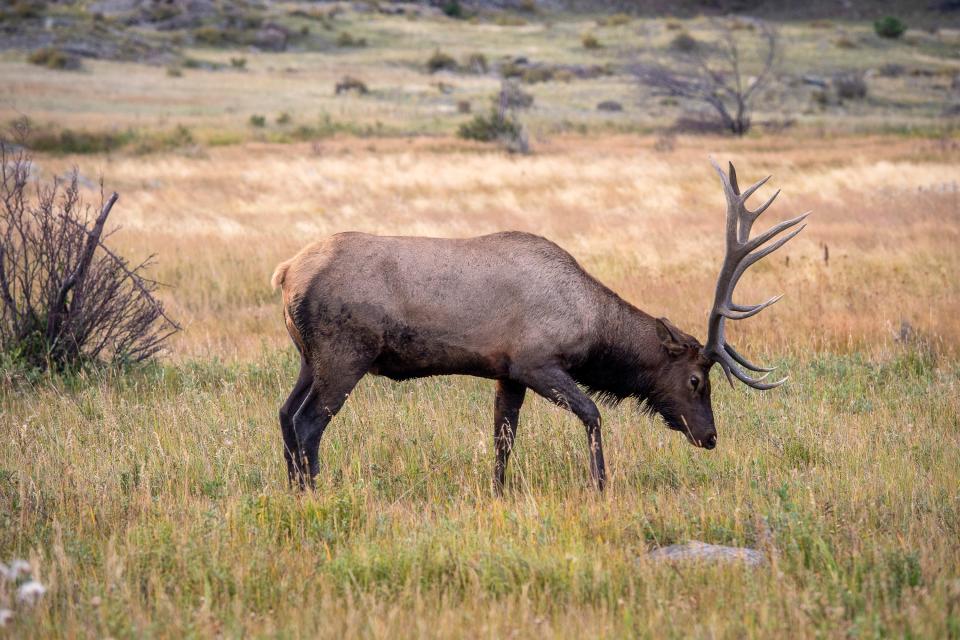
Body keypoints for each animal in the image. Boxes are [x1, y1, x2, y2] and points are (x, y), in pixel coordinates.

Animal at [272, 160, 808, 490]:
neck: (593, 330)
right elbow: (592, 413)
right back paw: (315, 491)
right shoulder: (537, 362)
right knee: (309, 422)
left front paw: (498, 491)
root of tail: (286, 272)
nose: (710, 436)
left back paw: (294, 490)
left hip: (308, 358)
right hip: (345, 354)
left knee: (284, 413)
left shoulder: (506, 372)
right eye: (696, 379)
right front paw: (600, 484)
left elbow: (502, 439)